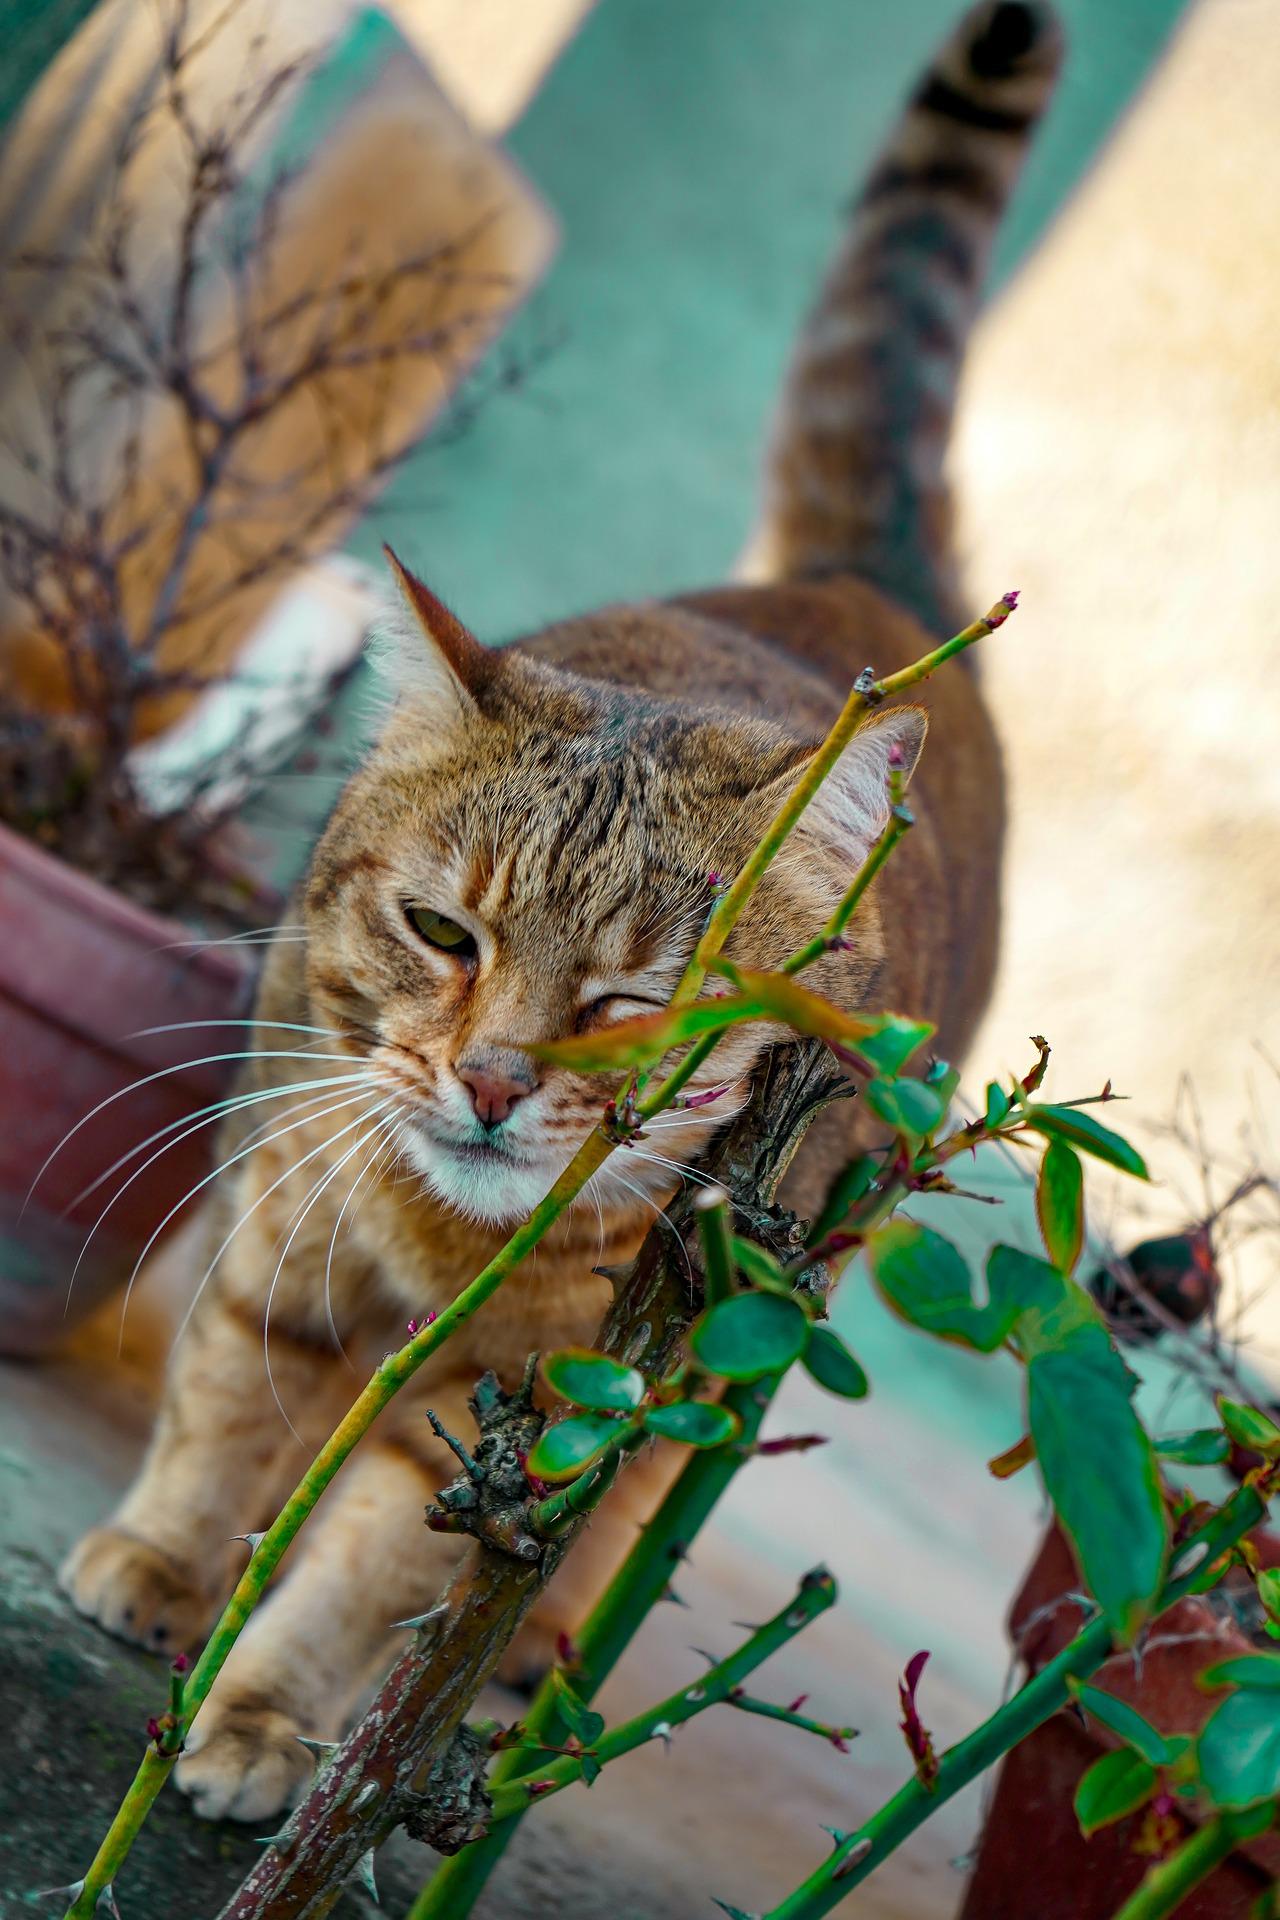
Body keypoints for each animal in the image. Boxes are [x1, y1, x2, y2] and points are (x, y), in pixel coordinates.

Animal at [59, 0, 1059, 1820]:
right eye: (445, 937)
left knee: (638, 1502)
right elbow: (229, 1393)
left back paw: (537, 1648)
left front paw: (267, 1715)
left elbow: (378, 1565)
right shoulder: (285, 1211)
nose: (490, 1080)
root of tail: (872, 589)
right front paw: (169, 1561)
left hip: (753, 1323)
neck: (431, 1242)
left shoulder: (527, 1408)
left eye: (627, 1006)